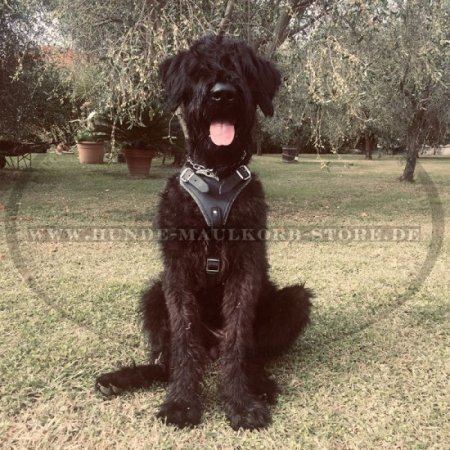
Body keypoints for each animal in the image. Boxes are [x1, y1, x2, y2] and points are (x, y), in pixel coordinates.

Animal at [95, 35, 313, 431]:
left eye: (242, 68)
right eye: (197, 71)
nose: (222, 94)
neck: (216, 179)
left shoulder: (245, 269)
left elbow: (238, 340)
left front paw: (240, 402)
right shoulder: (177, 272)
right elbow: (183, 341)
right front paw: (181, 403)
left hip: (294, 300)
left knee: (252, 351)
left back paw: (259, 383)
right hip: (153, 293)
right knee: (165, 362)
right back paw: (122, 378)